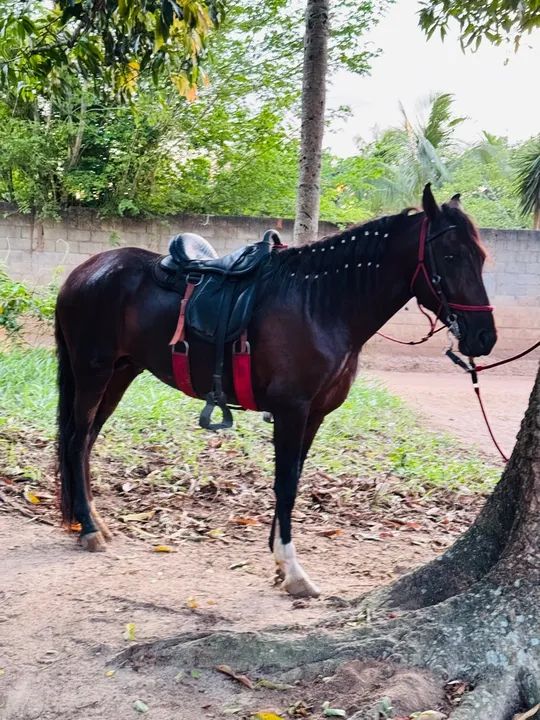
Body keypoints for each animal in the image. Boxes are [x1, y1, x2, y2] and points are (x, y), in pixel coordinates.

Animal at [54, 184, 496, 598]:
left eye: (481, 258)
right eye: (451, 257)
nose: (484, 337)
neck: (320, 305)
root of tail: (85, 270)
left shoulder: (314, 414)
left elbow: (294, 481)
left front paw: (279, 563)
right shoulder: (291, 410)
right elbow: (284, 483)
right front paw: (293, 570)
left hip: (120, 373)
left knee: (87, 440)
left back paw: (93, 521)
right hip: (93, 372)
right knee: (76, 441)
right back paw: (88, 529)